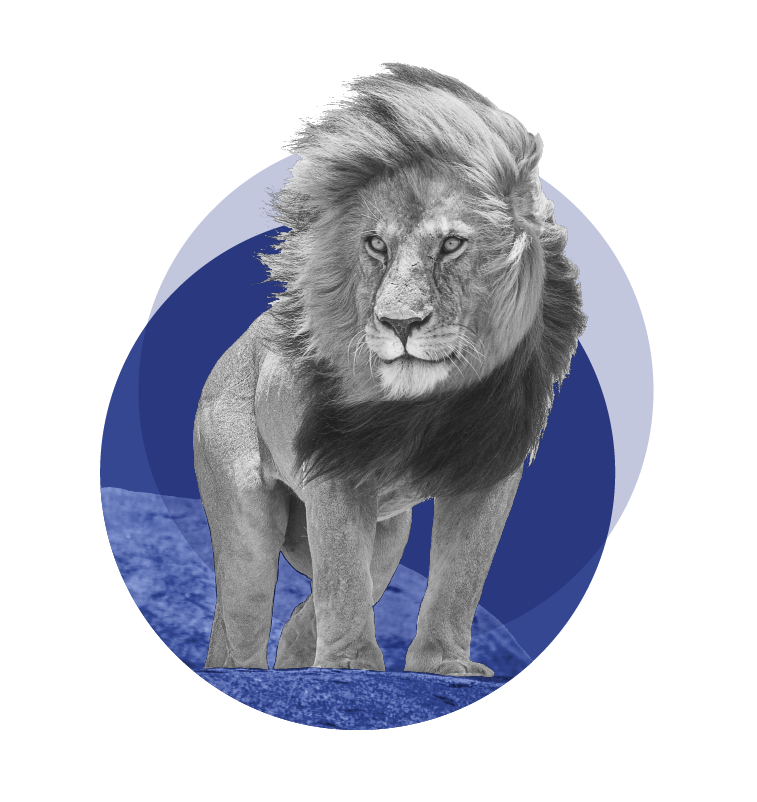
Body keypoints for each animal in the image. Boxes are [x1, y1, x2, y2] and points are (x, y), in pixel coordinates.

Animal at [193, 62, 585, 676]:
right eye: (375, 244)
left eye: (451, 244)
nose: (399, 323)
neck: (433, 402)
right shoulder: (335, 469)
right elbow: (342, 575)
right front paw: (351, 664)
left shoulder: (489, 470)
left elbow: (460, 578)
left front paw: (442, 664)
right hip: (246, 518)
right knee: (247, 612)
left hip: (390, 531)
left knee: (312, 609)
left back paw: (302, 664)